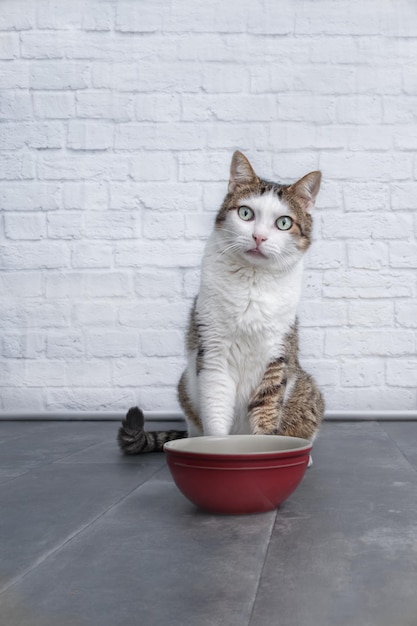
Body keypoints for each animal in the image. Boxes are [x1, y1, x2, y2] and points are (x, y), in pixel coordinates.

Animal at [118, 151, 324, 454]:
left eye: (284, 223)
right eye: (246, 213)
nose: (259, 237)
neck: (252, 283)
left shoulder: (276, 358)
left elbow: (267, 413)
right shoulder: (214, 354)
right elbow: (215, 414)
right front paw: (217, 451)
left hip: (307, 389)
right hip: (185, 384)